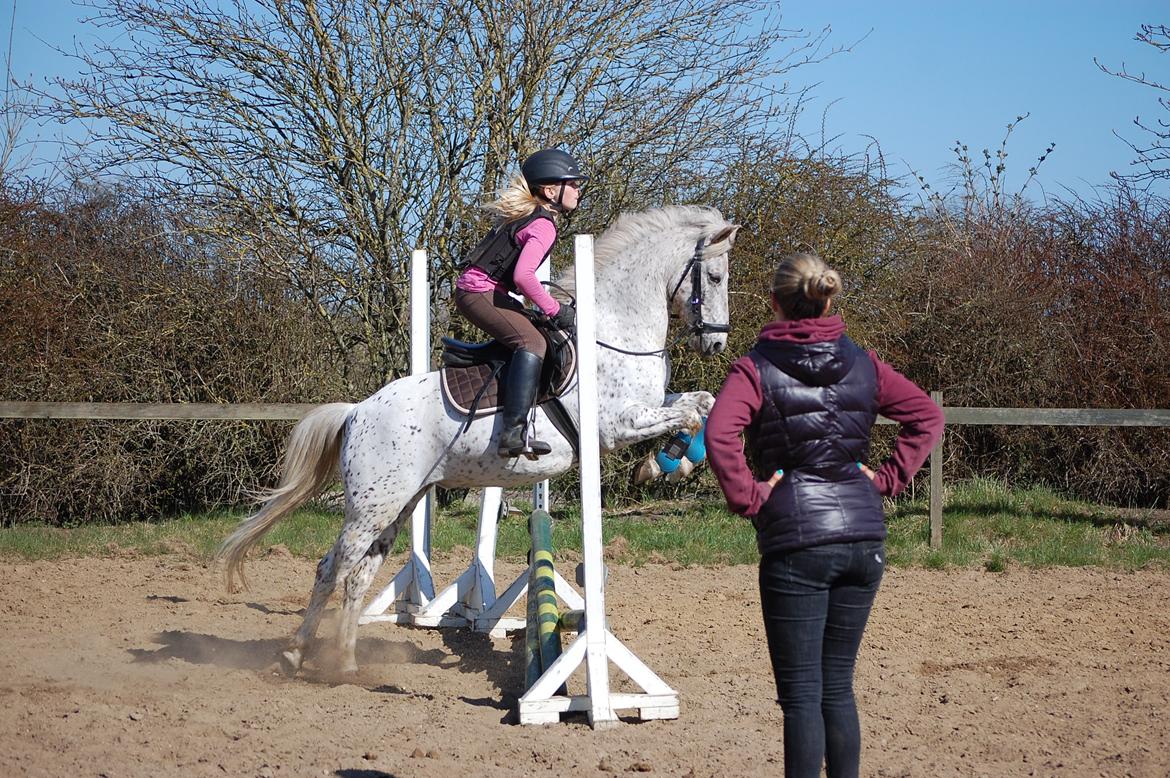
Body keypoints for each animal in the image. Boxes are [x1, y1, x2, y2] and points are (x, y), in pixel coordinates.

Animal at [217, 204, 740, 675]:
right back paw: (295, 654)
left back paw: (345, 664)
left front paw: (675, 462)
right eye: (714, 278)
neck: (611, 330)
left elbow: (703, 404)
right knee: (332, 569)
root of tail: (358, 412)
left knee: (358, 576)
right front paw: (660, 465)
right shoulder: (617, 424)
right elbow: (688, 413)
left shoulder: (650, 405)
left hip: (398, 503)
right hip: (371, 506)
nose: (715, 343)